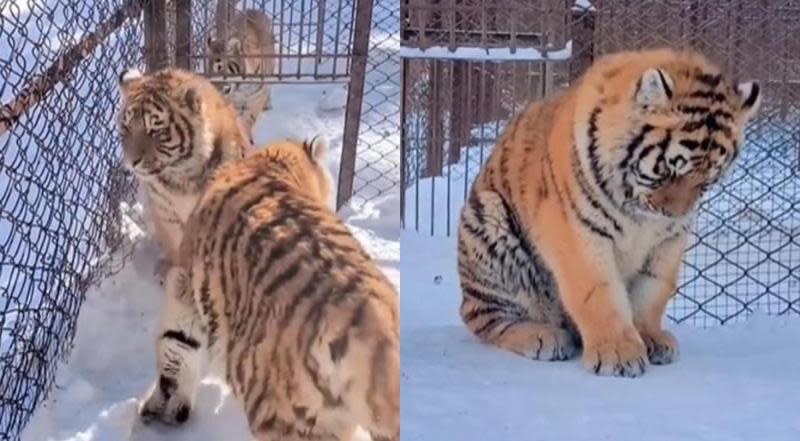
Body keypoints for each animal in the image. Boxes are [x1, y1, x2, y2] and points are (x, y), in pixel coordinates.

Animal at [118, 68, 250, 282]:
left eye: (155, 131)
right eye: (127, 127)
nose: (131, 162)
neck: (183, 176)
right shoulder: (165, 213)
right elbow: (176, 246)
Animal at [206, 0, 276, 134]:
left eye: (219, 67)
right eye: (208, 68)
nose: (211, 85)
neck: (241, 87)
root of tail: (251, 9)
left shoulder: (256, 99)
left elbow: (248, 120)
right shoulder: (233, 102)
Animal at [456, 49, 764, 378]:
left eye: (707, 181)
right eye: (668, 171)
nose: (673, 214)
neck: (641, 215)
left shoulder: (668, 242)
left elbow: (652, 291)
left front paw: (650, 338)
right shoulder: (578, 232)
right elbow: (598, 293)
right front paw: (618, 354)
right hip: (488, 220)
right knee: (484, 317)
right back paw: (543, 336)